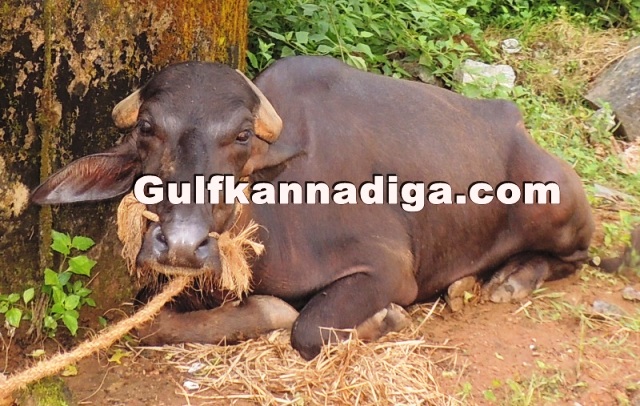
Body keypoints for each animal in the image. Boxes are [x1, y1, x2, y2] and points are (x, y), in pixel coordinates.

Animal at [31, 56, 594, 360]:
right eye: (148, 128)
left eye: (241, 136)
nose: (184, 245)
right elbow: (147, 324)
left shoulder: (388, 269)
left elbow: (305, 328)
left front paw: (382, 320)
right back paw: (467, 284)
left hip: (555, 205)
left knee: (578, 256)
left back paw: (512, 280)